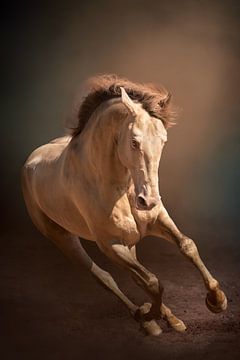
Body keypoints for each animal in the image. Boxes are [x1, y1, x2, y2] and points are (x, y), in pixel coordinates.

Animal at [21, 74, 227, 336]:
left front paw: (217, 300)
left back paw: (171, 319)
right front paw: (147, 314)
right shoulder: (111, 245)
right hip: (64, 239)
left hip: (130, 241)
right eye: (134, 142)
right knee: (104, 277)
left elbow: (187, 246)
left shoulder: (156, 221)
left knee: (135, 275)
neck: (114, 183)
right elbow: (152, 281)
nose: (147, 201)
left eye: (163, 141)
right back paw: (147, 321)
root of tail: (31, 160)